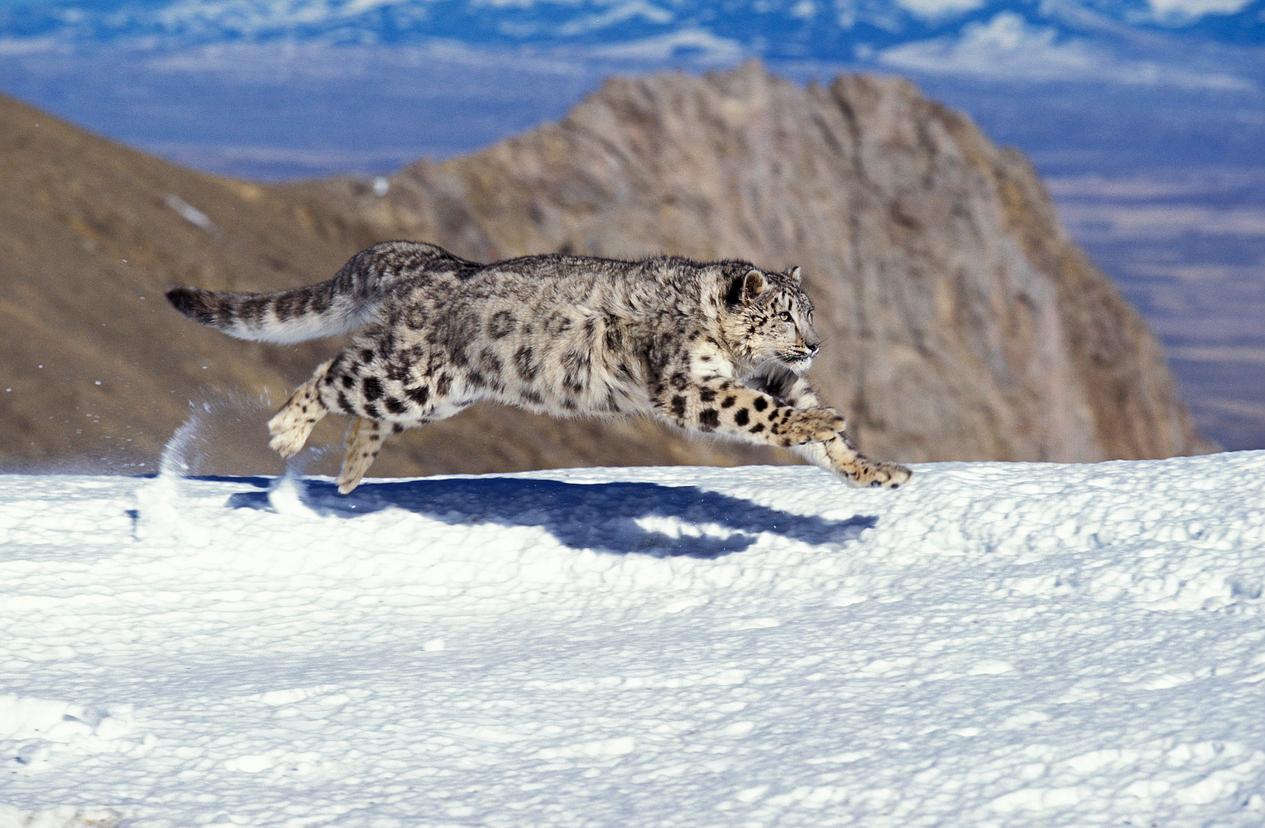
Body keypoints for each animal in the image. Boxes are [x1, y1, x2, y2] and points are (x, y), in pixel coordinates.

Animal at [170, 242, 910, 495]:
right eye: (784, 316)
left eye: (807, 313)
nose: (813, 345)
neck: (742, 359)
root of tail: (438, 263)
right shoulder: (686, 383)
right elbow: (758, 411)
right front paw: (817, 421)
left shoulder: (772, 376)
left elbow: (799, 417)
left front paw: (873, 467)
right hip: (408, 374)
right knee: (332, 373)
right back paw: (288, 431)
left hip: (436, 394)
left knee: (364, 406)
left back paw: (351, 472)